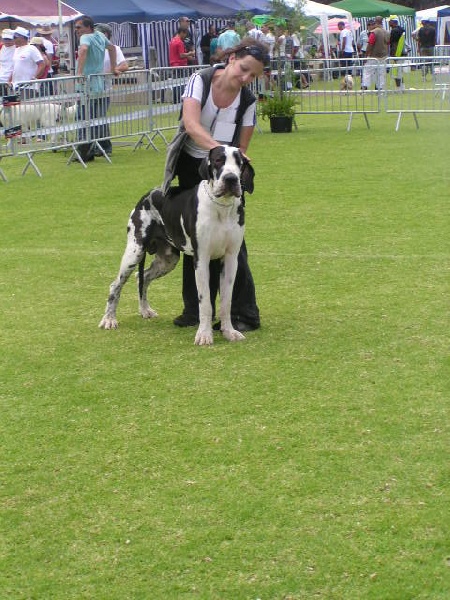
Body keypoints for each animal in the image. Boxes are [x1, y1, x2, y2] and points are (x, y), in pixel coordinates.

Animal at [99, 145, 255, 346]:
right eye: (218, 160)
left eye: (239, 163)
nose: (231, 179)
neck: (221, 207)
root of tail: (147, 194)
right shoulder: (201, 260)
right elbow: (205, 303)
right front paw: (204, 334)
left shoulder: (230, 260)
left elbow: (226, 302)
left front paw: (228, 331)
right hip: (134, 252)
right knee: (115, 285)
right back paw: (109, 319)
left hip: (167, 260)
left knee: (143, 277)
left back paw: (145, 310)